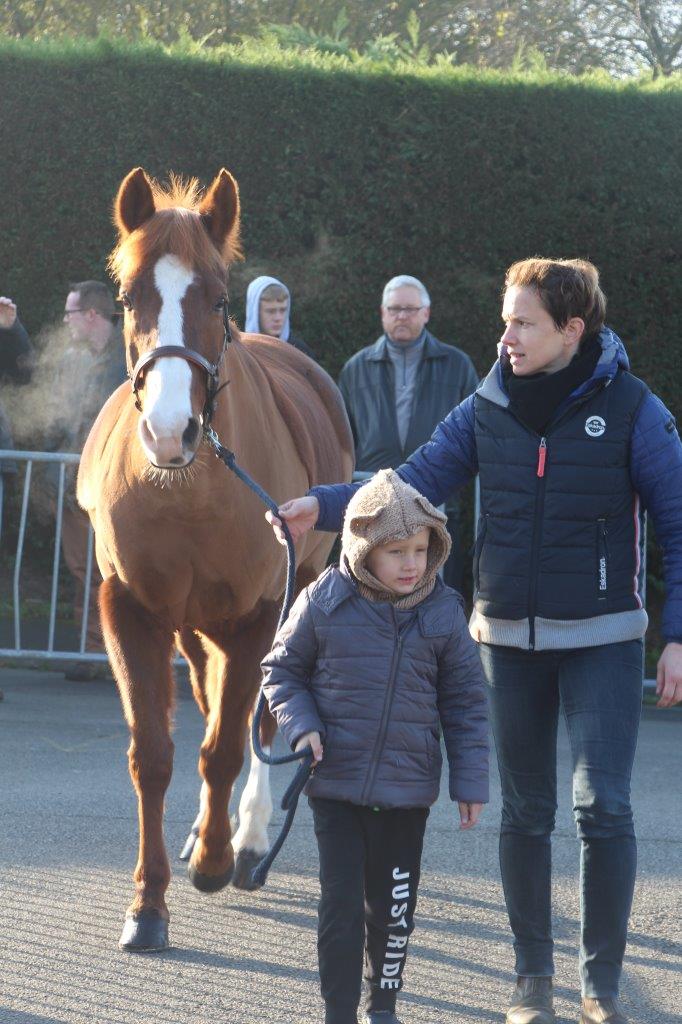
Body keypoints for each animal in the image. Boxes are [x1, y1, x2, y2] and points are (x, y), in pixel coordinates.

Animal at [78, 167, 352, 950]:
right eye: (129, 297)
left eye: (219, 297)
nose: (170, 430)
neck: (189, 491)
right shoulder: (132, 610)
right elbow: (154, 754)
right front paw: (148, 903)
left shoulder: (258, 615)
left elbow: (233, 742)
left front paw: (217, 860)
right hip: (196, 627)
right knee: (207, 703)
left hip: (288, 600)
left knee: (258, 722)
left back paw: (247, 839)